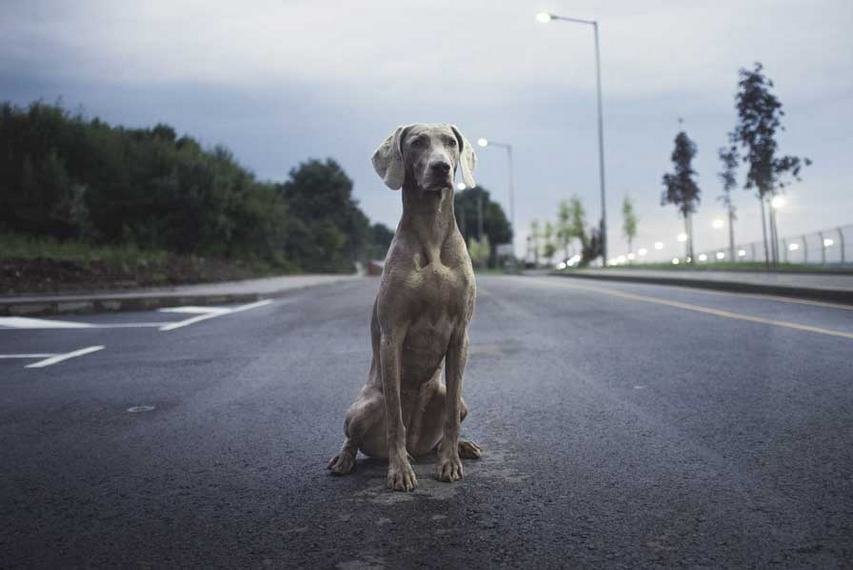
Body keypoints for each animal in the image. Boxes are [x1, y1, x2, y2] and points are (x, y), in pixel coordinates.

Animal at [326, 123, 482, 488]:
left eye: (451, 143)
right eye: (417, 142)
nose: (441, 168)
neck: (432, 235)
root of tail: (417, 445)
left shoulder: (460, 334)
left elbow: (451, 415)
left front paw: (450, 463)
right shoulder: (392, 334)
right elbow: (396, 416)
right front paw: (399, 471)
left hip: (451, 399)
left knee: (451, 413)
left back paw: (460, 447)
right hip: (363, 406)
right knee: (355, 435)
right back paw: (347, 459)